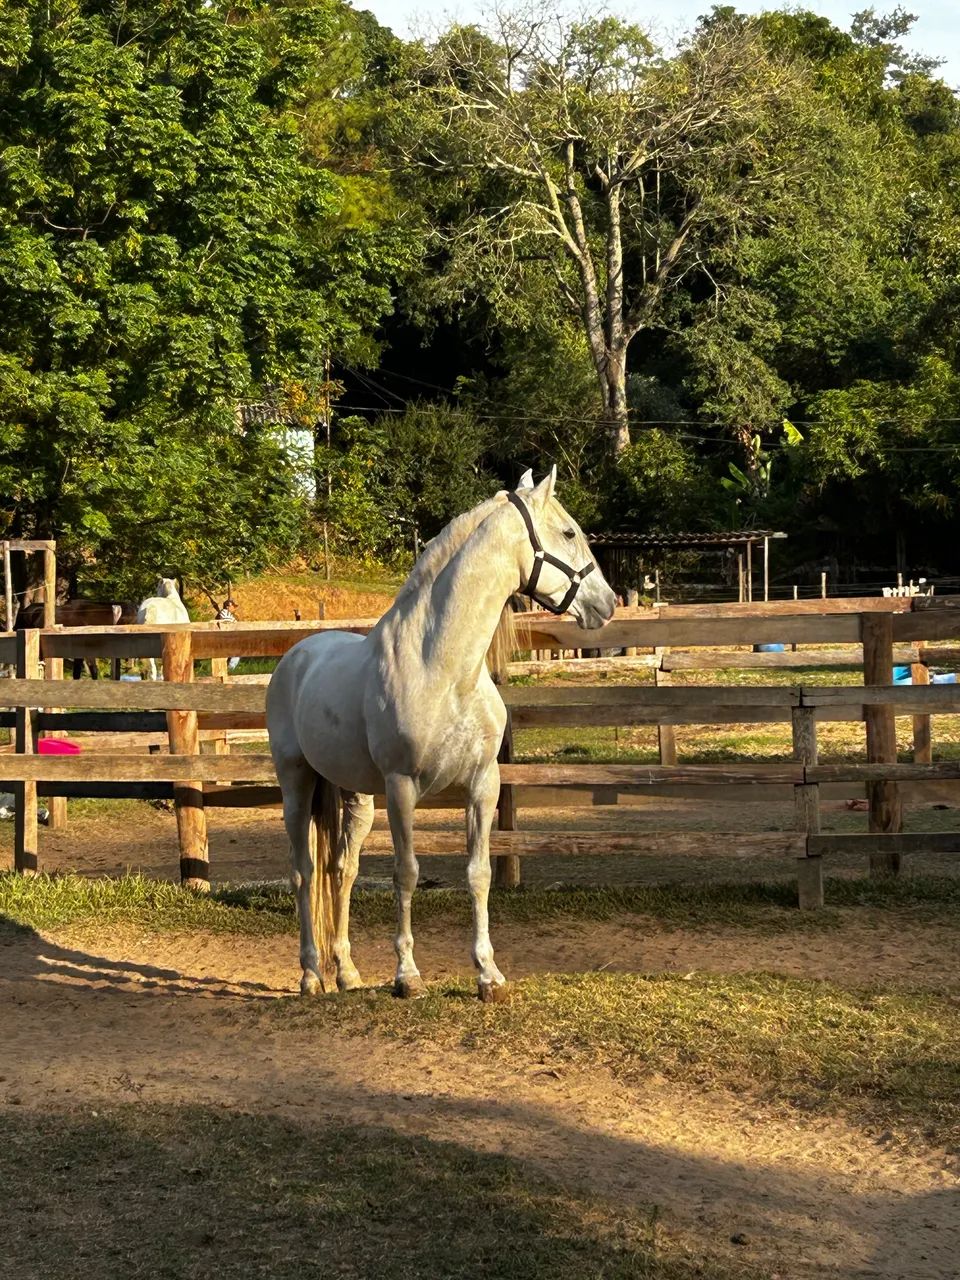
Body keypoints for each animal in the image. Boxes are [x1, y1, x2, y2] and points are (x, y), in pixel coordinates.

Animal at [266, 468, 617, 1000]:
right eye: (569, 533)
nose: (608, 603)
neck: (446, 671)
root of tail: (297, 655)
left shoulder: (484, 784)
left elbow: (479, 873)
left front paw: (488, 974)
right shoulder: (401, 788)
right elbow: (407, 873)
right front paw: (407, 975)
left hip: (355, 796)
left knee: (341, 870)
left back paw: (345, 972)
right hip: (297, 783)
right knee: (303, 871)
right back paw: (310, 974)